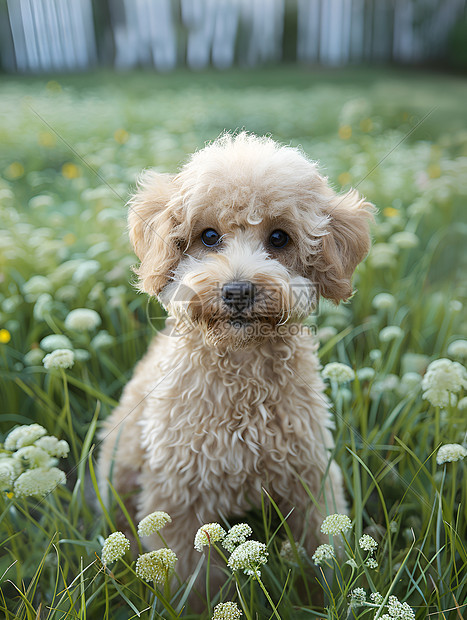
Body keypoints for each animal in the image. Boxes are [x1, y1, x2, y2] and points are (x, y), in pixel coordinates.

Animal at [98, 133, 372, 580]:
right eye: (209, 236)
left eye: (279, 238)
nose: (238, 291)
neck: (241, 368)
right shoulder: (179, 493)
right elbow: (192, 579)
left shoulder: (309, 473)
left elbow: (323, 549)